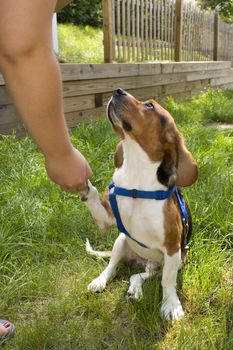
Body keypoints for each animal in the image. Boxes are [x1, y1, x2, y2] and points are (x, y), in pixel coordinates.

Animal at [81, 88, 198, 322]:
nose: (117, 90)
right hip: (120, 241)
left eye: (150, 105)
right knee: (112, 267)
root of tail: (142, 261)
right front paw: (85, 185)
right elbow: (94, 197)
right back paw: (101, 281)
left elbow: (167, 282)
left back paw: (135, 290)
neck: (136, 171)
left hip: (178, 258)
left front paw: (171, 304)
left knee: (139, 275)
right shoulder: (107, 220)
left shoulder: (172, 247)